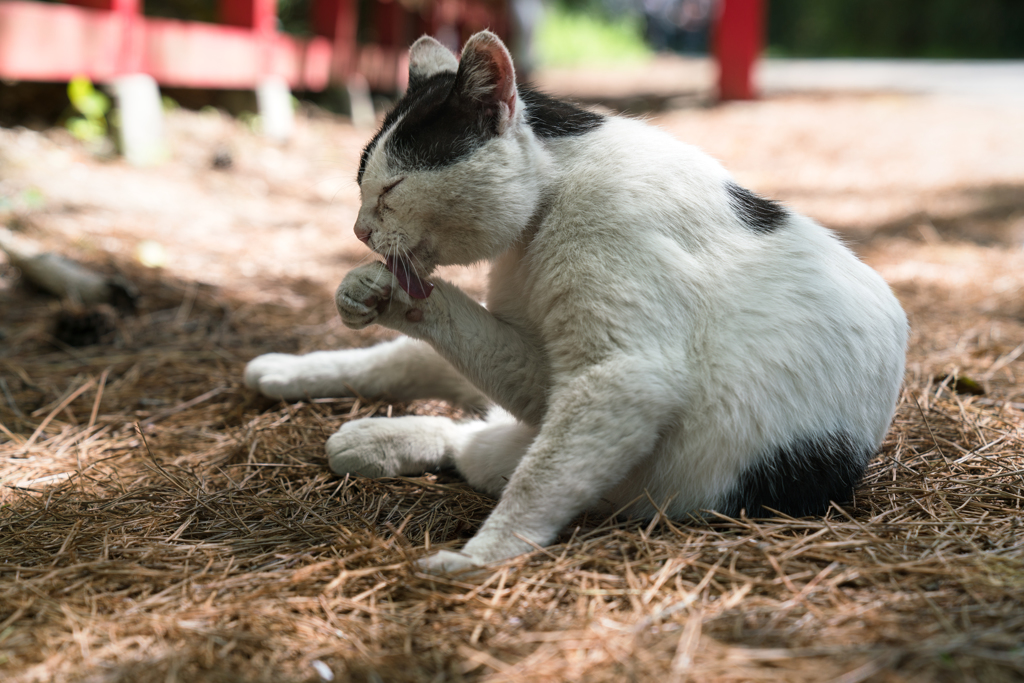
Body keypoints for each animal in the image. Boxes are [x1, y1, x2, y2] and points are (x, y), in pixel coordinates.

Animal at [243, 33, 909, 577]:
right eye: (361, 185)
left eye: (390, 187)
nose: (358, 231)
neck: (551, 195)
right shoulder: (548, 367)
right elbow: (439, 329)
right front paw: (371, 293)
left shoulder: (622, 375)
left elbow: (540, 478)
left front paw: (479, 559)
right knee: (447, 402)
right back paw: (308, 392)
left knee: (497, 452)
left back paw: (375, 443)